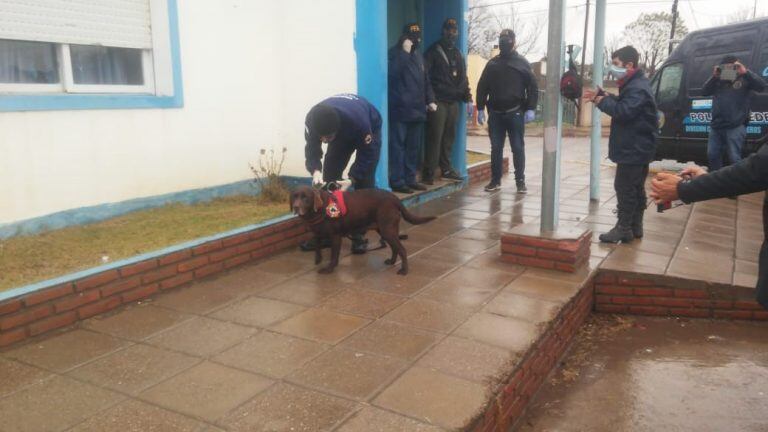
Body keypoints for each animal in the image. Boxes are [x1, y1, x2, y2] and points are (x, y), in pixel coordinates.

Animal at [292, 185, 436, 274]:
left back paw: (404, 271)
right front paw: (318, 259)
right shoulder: (317, 232)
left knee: (402, 249)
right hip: (386, 230)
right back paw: (392, 261)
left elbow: (333, 256)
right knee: (395, 248)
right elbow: (317, 244)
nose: (296, 207)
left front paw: (329, 269)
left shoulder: (335, 236)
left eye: (305, 197)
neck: (319, 210)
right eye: (294, 196)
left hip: (387, 230)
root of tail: (394, 198)